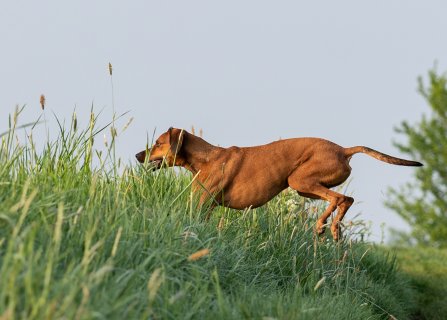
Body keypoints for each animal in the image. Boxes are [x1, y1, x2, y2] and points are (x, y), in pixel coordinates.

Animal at [136, 127, 424, 240]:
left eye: (158, 143)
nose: (139, 155)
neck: (206, 158)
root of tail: (344, 150)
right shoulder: (205, 208)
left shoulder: (200, 205)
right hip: (304, 187)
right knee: (346, 199)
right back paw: (333, 229)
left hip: (298, 179)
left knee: (339, 198)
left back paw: (323, 226)